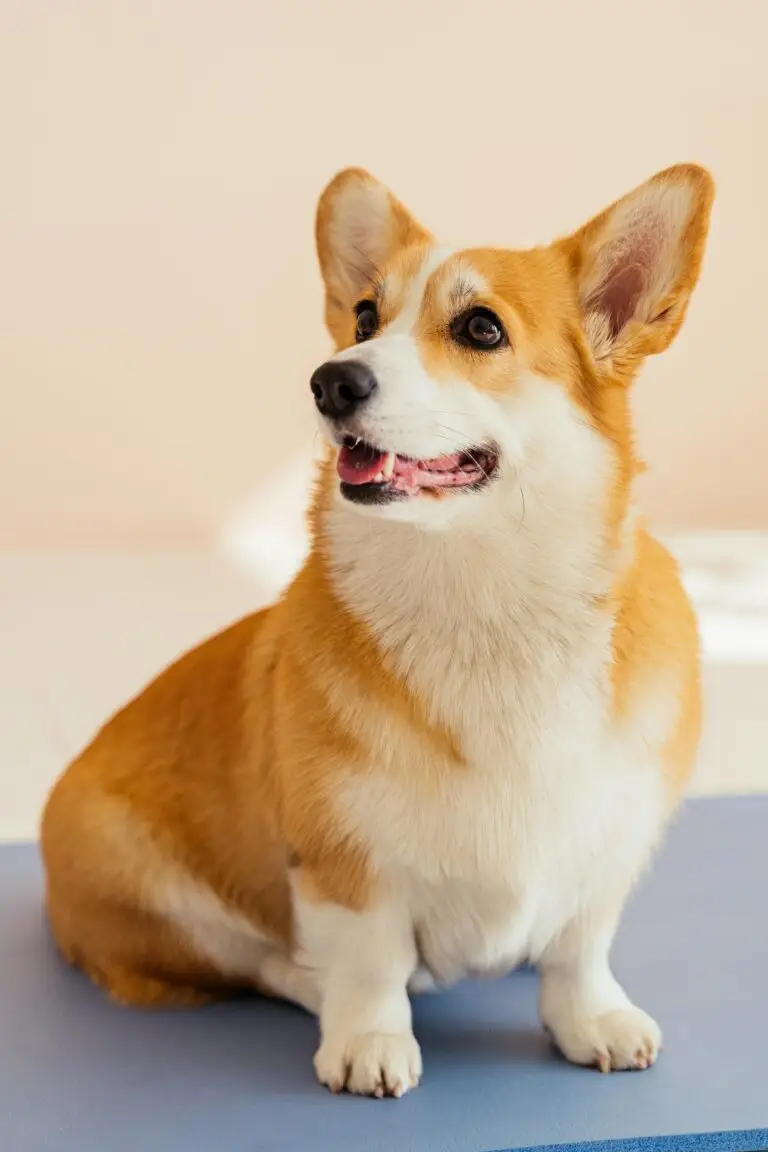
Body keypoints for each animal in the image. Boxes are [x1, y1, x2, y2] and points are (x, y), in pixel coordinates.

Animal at [40, 164, 713, 1096]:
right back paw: (309, 984)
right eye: (364, 317)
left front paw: (594, 1020)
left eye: (480, 328)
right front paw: (368, 1039)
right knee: (254, 964)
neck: (480, 593)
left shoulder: (607, 840)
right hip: (148, 888)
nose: (331, 381)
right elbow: (369, 961)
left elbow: (581, 949)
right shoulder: (342, 860)